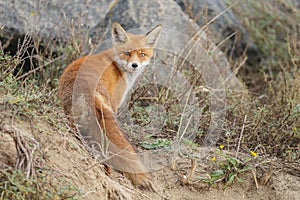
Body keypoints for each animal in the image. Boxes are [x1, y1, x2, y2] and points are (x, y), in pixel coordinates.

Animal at [58, 22, 162, 189]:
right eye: (127, 53)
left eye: (142, 54)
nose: (134, 65)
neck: (116, 65)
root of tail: (86, 88)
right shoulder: (115, 103)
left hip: (75, 118)